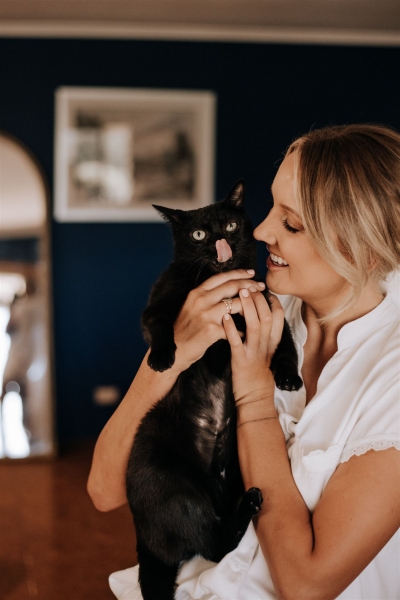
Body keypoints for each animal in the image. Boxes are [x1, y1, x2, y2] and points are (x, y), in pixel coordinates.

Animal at [126, 180, 302, 600]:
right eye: (198, 235)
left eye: (231, 224)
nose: (221, 240)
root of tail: (145, 539)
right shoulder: (158, 304)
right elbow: (163, 325)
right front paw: (163, 358)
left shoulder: (267, 305)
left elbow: (285, 346)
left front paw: (288, 376)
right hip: (173, 485)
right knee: (212, 546)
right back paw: (250, 503)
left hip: (231, 467)